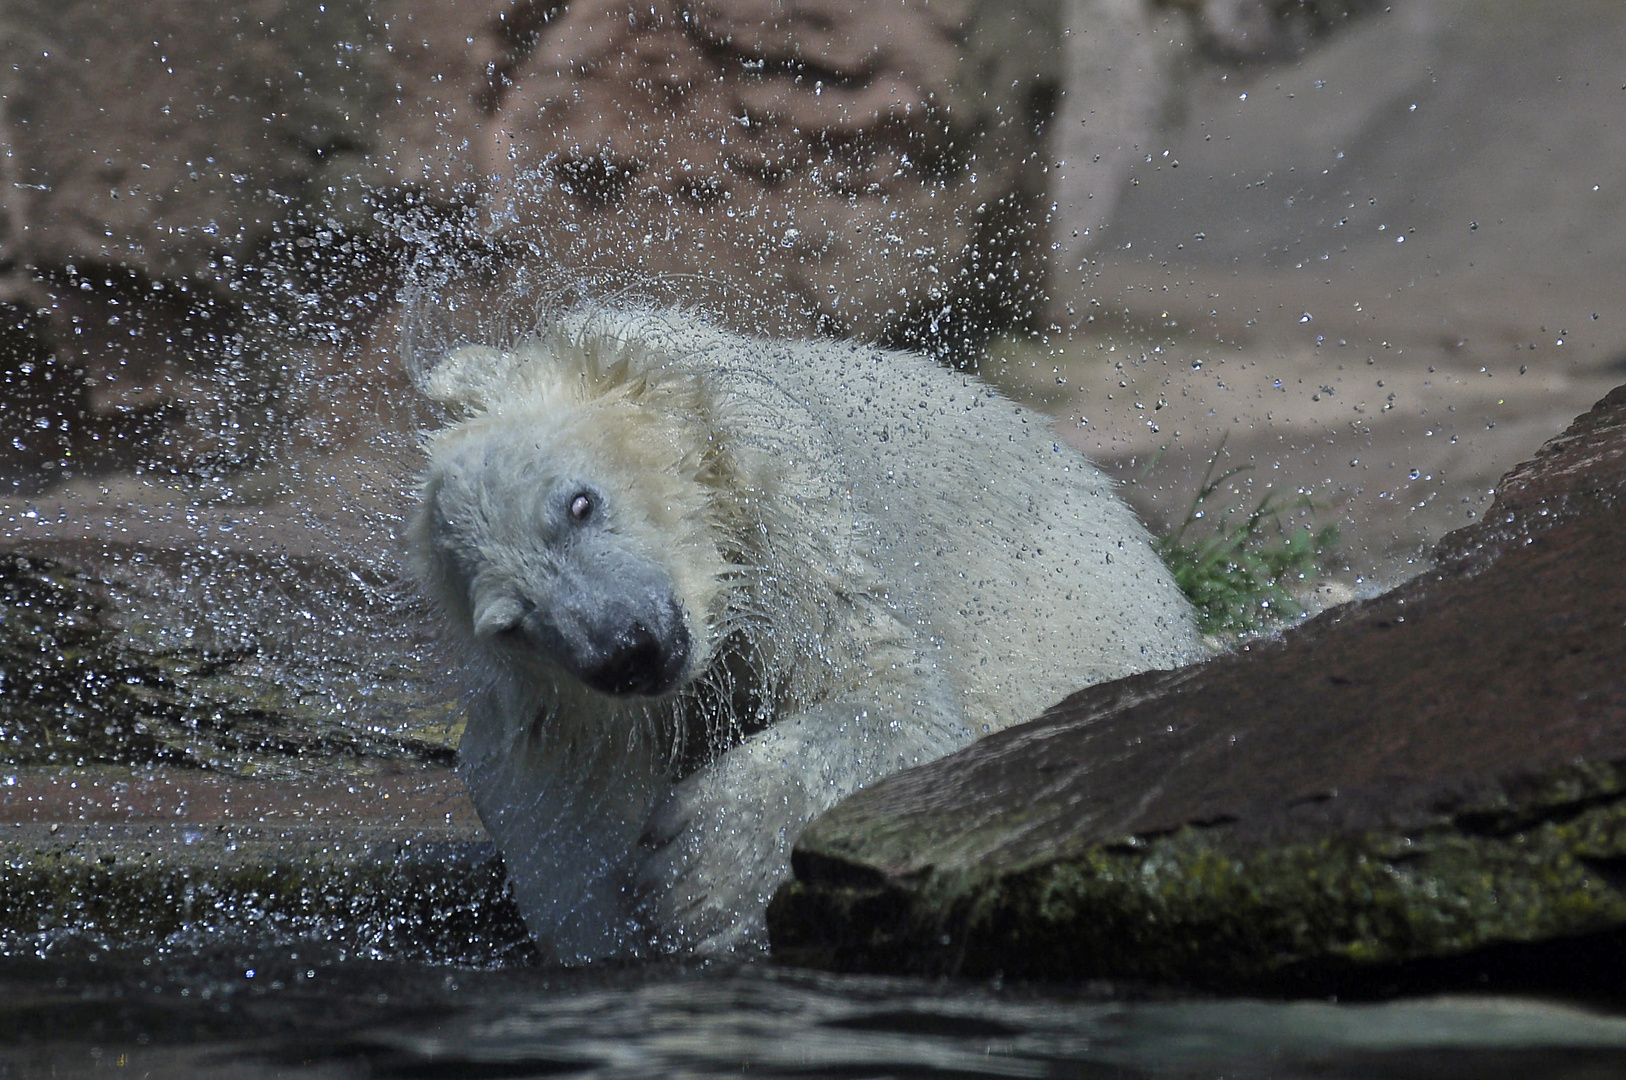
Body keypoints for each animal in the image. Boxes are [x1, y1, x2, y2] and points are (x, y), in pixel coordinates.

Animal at [413, 307, 1203, 956]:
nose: (626, 651)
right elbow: (547, 791)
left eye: (579, 503)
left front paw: (702, 873)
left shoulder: (793, 519)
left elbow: (895, 700)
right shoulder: (572, 713)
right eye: (512, 621)